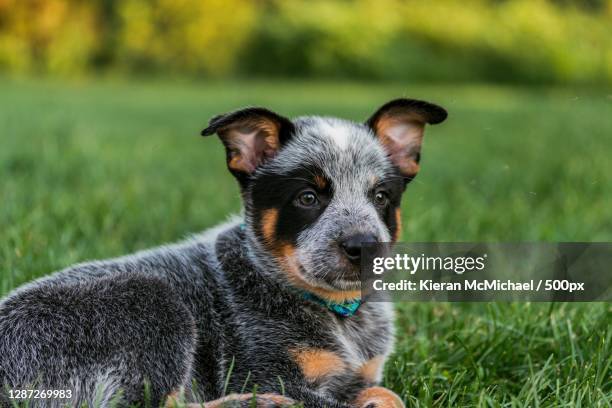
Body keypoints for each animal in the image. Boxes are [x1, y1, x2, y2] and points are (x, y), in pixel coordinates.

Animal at [1, 97, 450, 406]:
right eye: (307, 197)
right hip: (151, 302)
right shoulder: (263, 370)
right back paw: (259, 405)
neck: (340, 314)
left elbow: (386, 393)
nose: (364, 245)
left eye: (381, 197)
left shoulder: (366, 372)